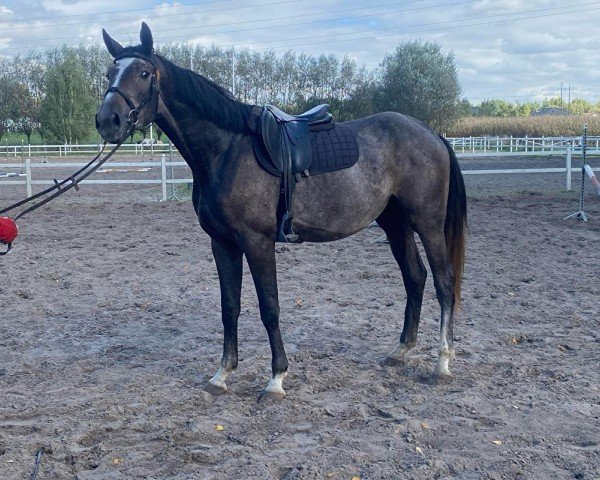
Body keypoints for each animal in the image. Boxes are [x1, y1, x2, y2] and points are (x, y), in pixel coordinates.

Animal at [95, 22, 468, 400]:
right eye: (110, 73)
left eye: (143, 73)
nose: (107, 120)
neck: (227, 150)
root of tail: (431, 134)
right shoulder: (222, 244)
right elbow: (229, 307)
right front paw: (222, 374)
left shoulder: (258, 242)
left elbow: (269, 307)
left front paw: (276, 378)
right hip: (394, 223)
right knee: (415, 277)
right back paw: (401, 350)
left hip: (428, 223)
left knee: (443, 282)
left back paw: (442, 364)